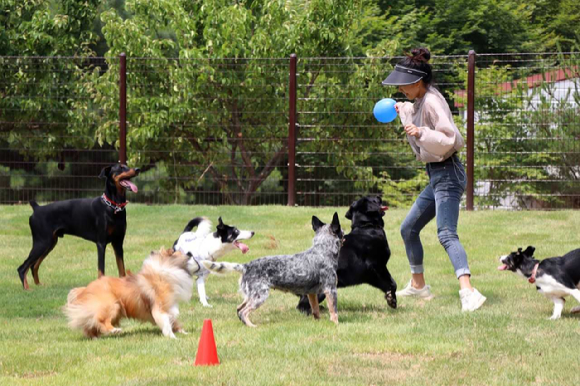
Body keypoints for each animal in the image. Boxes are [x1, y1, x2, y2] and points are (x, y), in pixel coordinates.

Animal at [63, 247, 199, 338]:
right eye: (175, 251)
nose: (190, 252)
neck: (165, 269)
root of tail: (84, 289)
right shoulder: (160, 307)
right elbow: (166, 321)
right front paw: (172, 336)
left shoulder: (168, 307)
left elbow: (174, 321)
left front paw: (183, 332)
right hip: (112, 305)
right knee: (100, 321)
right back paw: (114, 331)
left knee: (91, 324)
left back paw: (95, 337)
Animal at [202, 213, 342, 328]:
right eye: (341, 231)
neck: (322, 251)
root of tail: (245, 266)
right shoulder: (330, 289)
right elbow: (334, 310)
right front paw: (336, 324)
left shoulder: (311, 293)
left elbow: (315, 310)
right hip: (260, 296)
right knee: (243, 312)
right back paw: (252, 326)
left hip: (250, 295)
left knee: (238, 308)